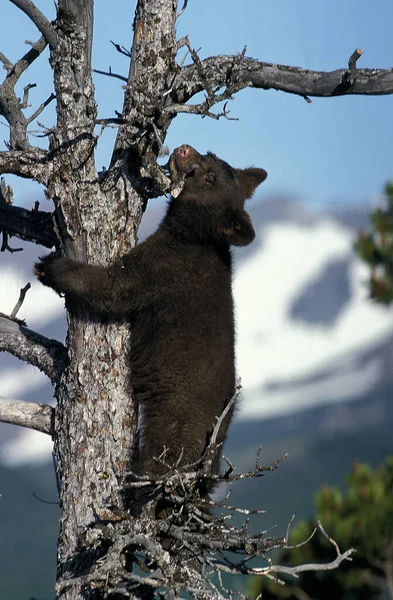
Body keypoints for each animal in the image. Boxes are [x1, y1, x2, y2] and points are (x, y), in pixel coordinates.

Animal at [35, 145, 266, 488]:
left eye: (209, 178)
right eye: (209, 154)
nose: (184, 151)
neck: (192, 235)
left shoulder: (163, 268)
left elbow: (113, 287)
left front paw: (50, 267)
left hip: (175, 422)